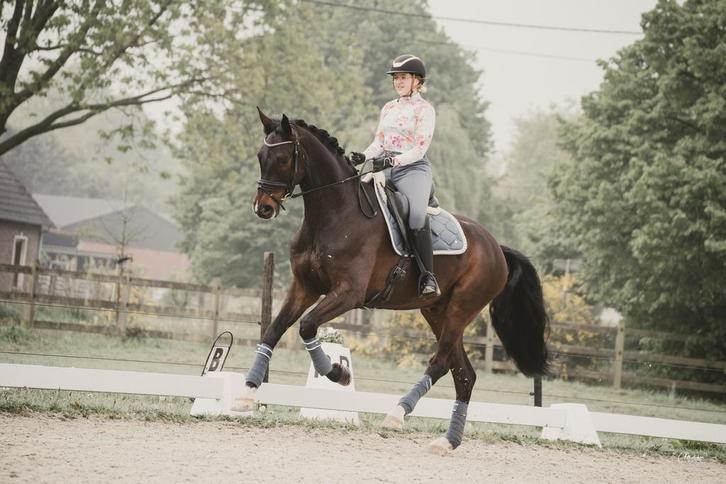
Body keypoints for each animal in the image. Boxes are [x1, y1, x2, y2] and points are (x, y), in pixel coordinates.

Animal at [233, 108, 549, 455]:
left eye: (283, 158)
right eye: (261, 156)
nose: (263, 208)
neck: (334, 215)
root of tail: (497, 247)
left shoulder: (349, 293)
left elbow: (307, 326)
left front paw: (338, 373)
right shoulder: (305, 287)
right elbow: (275, 329)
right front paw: (247, 392)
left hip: (462, 309)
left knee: (440, 362)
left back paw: (398, 413)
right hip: (435, 311)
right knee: (464, 374)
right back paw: (447, 441)